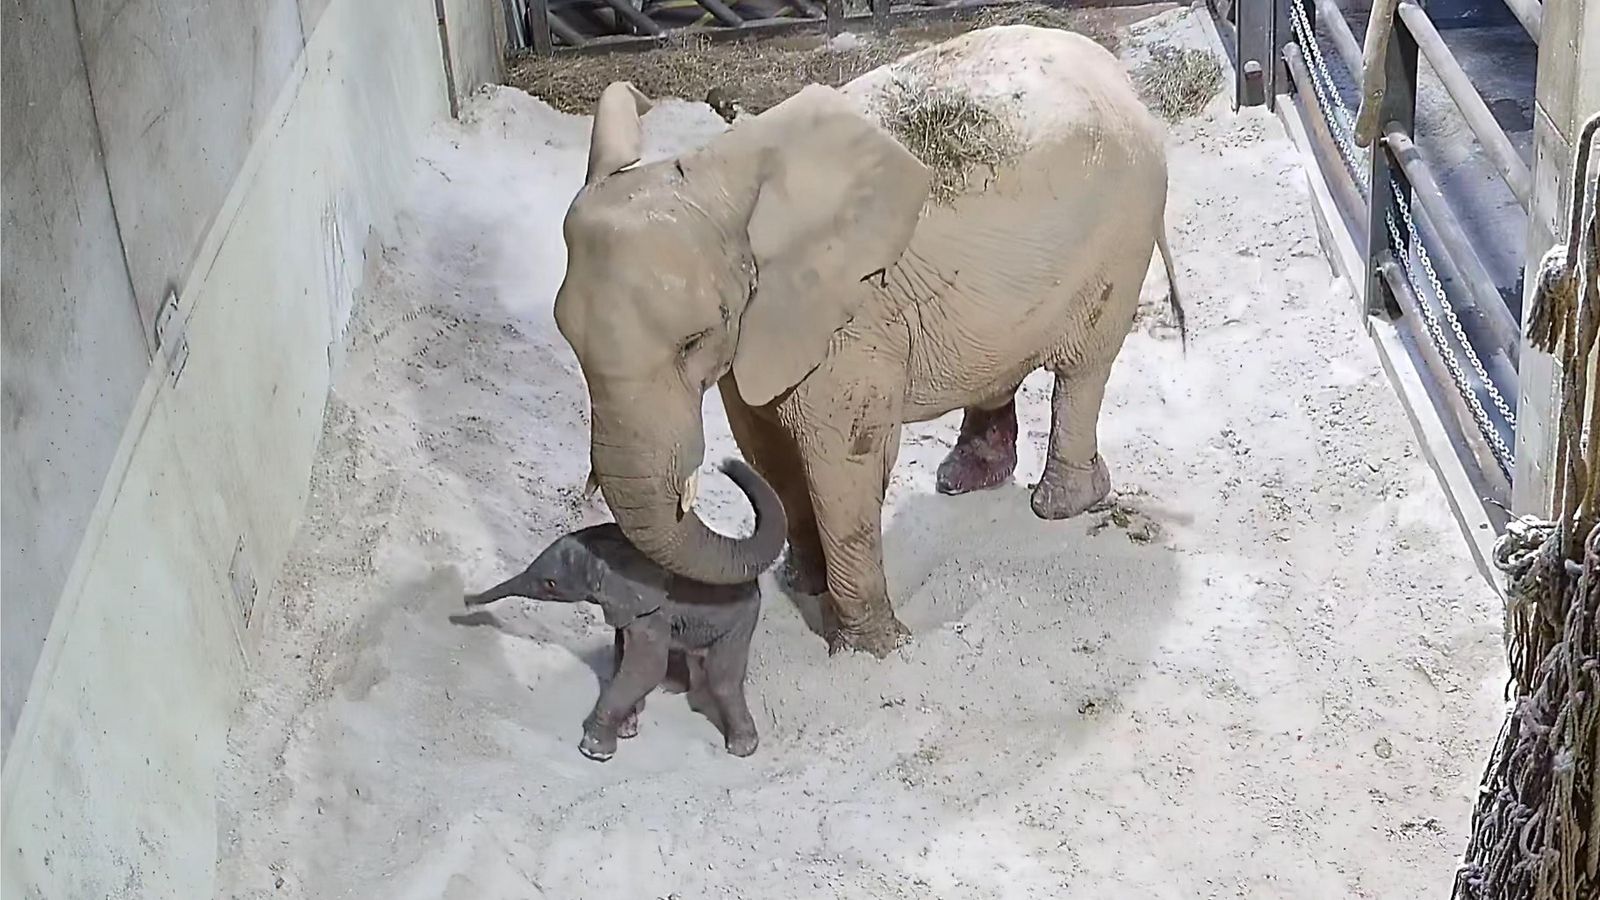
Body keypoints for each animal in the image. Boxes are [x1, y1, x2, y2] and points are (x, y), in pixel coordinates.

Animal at [552, 25, 1184, 658]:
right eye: (568, 342)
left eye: (693, 341)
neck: (717, 179)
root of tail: (1119, 75)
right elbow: (766, 448)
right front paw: (803, 587)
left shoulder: (847, 322)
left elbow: (843, 462)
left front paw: (874, 652)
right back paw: (965, 480)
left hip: (1121, 231)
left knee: (1084, 369)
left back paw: (1062, 505)